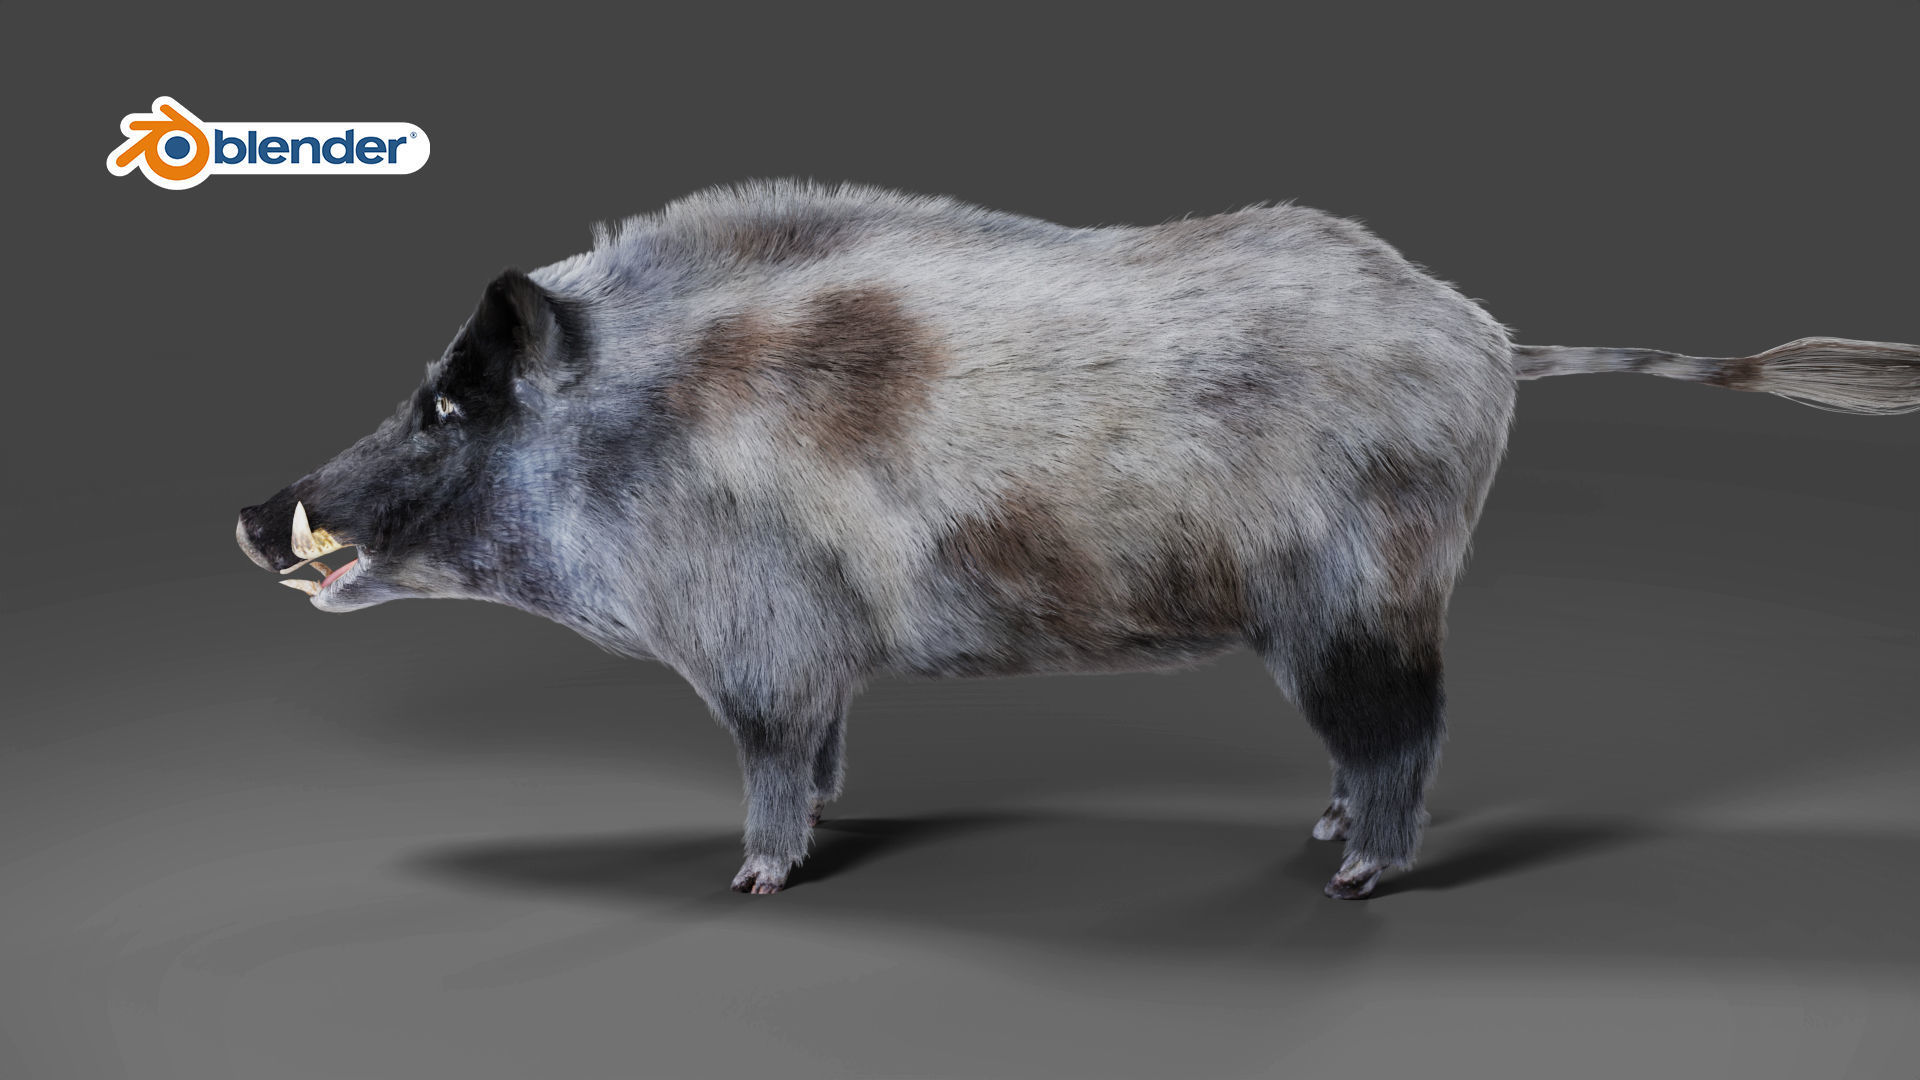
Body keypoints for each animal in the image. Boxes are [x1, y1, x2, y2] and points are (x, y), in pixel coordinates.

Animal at [235, 180, 1920, 898]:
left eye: (448, 405)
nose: (252, 512)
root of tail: (1489, 338)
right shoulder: (818, 657)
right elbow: (826, 752)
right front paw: (823, 828)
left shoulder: (759, 641)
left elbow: (772, 761)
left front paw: (755, 881)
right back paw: (1322, 836)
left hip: (1361, 596)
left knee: (1410, 732)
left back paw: (1355, 879)